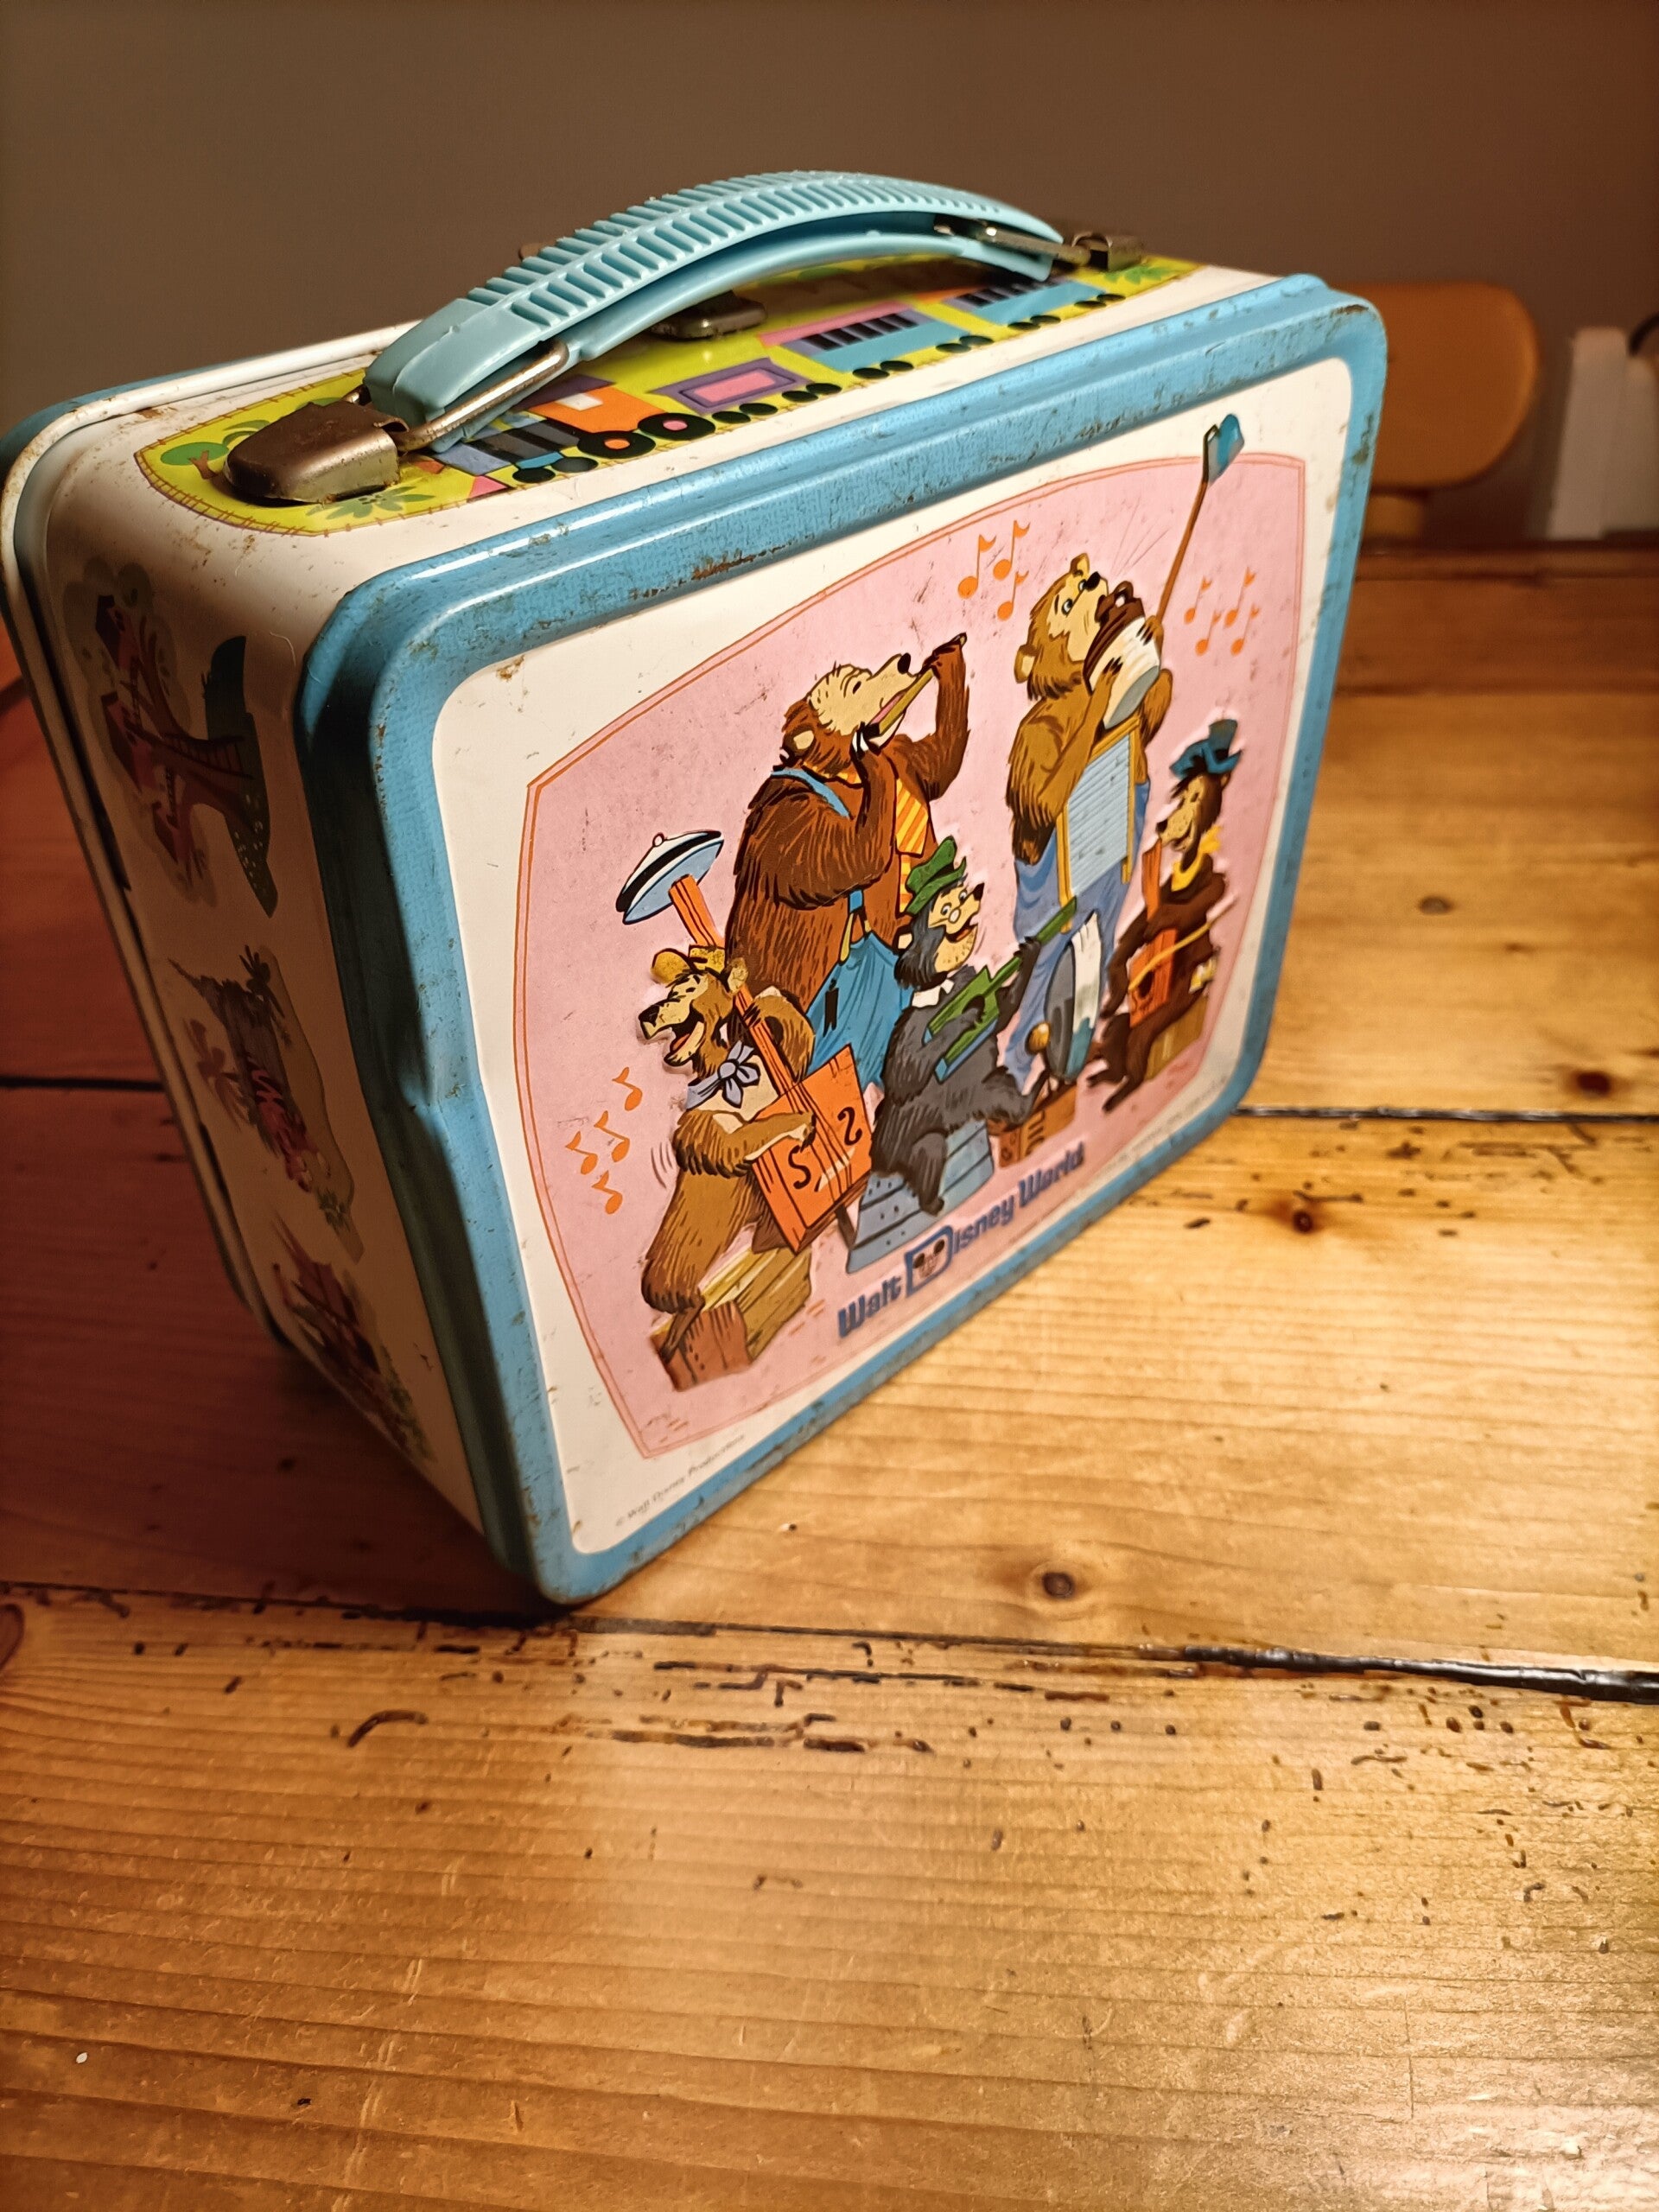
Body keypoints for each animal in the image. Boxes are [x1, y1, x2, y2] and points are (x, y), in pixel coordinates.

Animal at [637, 945, 814, 1354]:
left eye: (688, 986)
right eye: (669, 992)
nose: (645, 1015)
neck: (728, 1071)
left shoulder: (782, 1070)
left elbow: (791, 1023)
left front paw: (762, 1002)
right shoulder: (719, 1138)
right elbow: (762, 1127)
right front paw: (800, 1121)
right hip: (670, 1280)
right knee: (689, 1307)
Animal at [725, 636, 969, 1086]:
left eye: (865, 672)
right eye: (855, 686)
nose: (905, 660)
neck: (846, 778)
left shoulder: (907, 759)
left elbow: (939, 761)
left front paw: (948, 658)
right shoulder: (798, 830)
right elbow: (853, 860)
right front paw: (864, 748)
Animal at [869, 839, 1040, 1215]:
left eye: (962, 894)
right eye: (947, 908)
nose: (974, 892)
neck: (946, 987)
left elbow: (1002, 1012)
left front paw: (1030, 955)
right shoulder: (911, 1026)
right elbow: (905, 1073)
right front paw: (964, 1017)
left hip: (986, 1091)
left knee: (1003, 1090)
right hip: (922, 1143)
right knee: (929, 1153)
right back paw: (934, 1203)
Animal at [1002, 554, 1174, 1087]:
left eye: (1082, 577)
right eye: (1067, 601)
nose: (1095, 577)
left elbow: (1147, 722)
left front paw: (1155, 631)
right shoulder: (1032, 743)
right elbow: (1040, 800)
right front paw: (1113, 681)